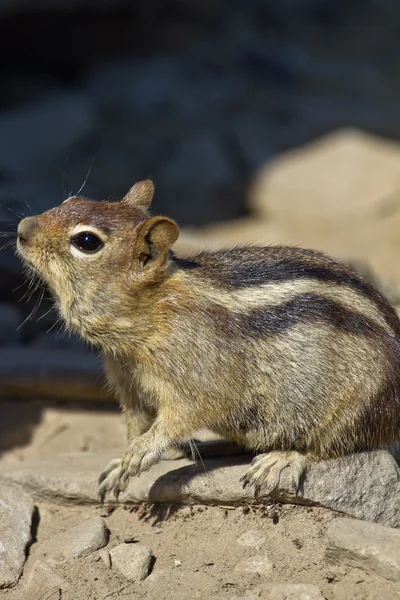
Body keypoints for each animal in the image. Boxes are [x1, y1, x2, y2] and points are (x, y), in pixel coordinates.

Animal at [17, 180, 400, 500]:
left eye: (86, 241)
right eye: (71, 200)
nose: (21, 229)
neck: (154, 310)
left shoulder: (197, 381)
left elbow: (181, 417)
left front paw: (139, 453)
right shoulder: (129, 384)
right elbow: (135, 423)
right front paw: (120, 462)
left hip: (355, 407)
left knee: (336, 446)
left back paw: (281, 459)